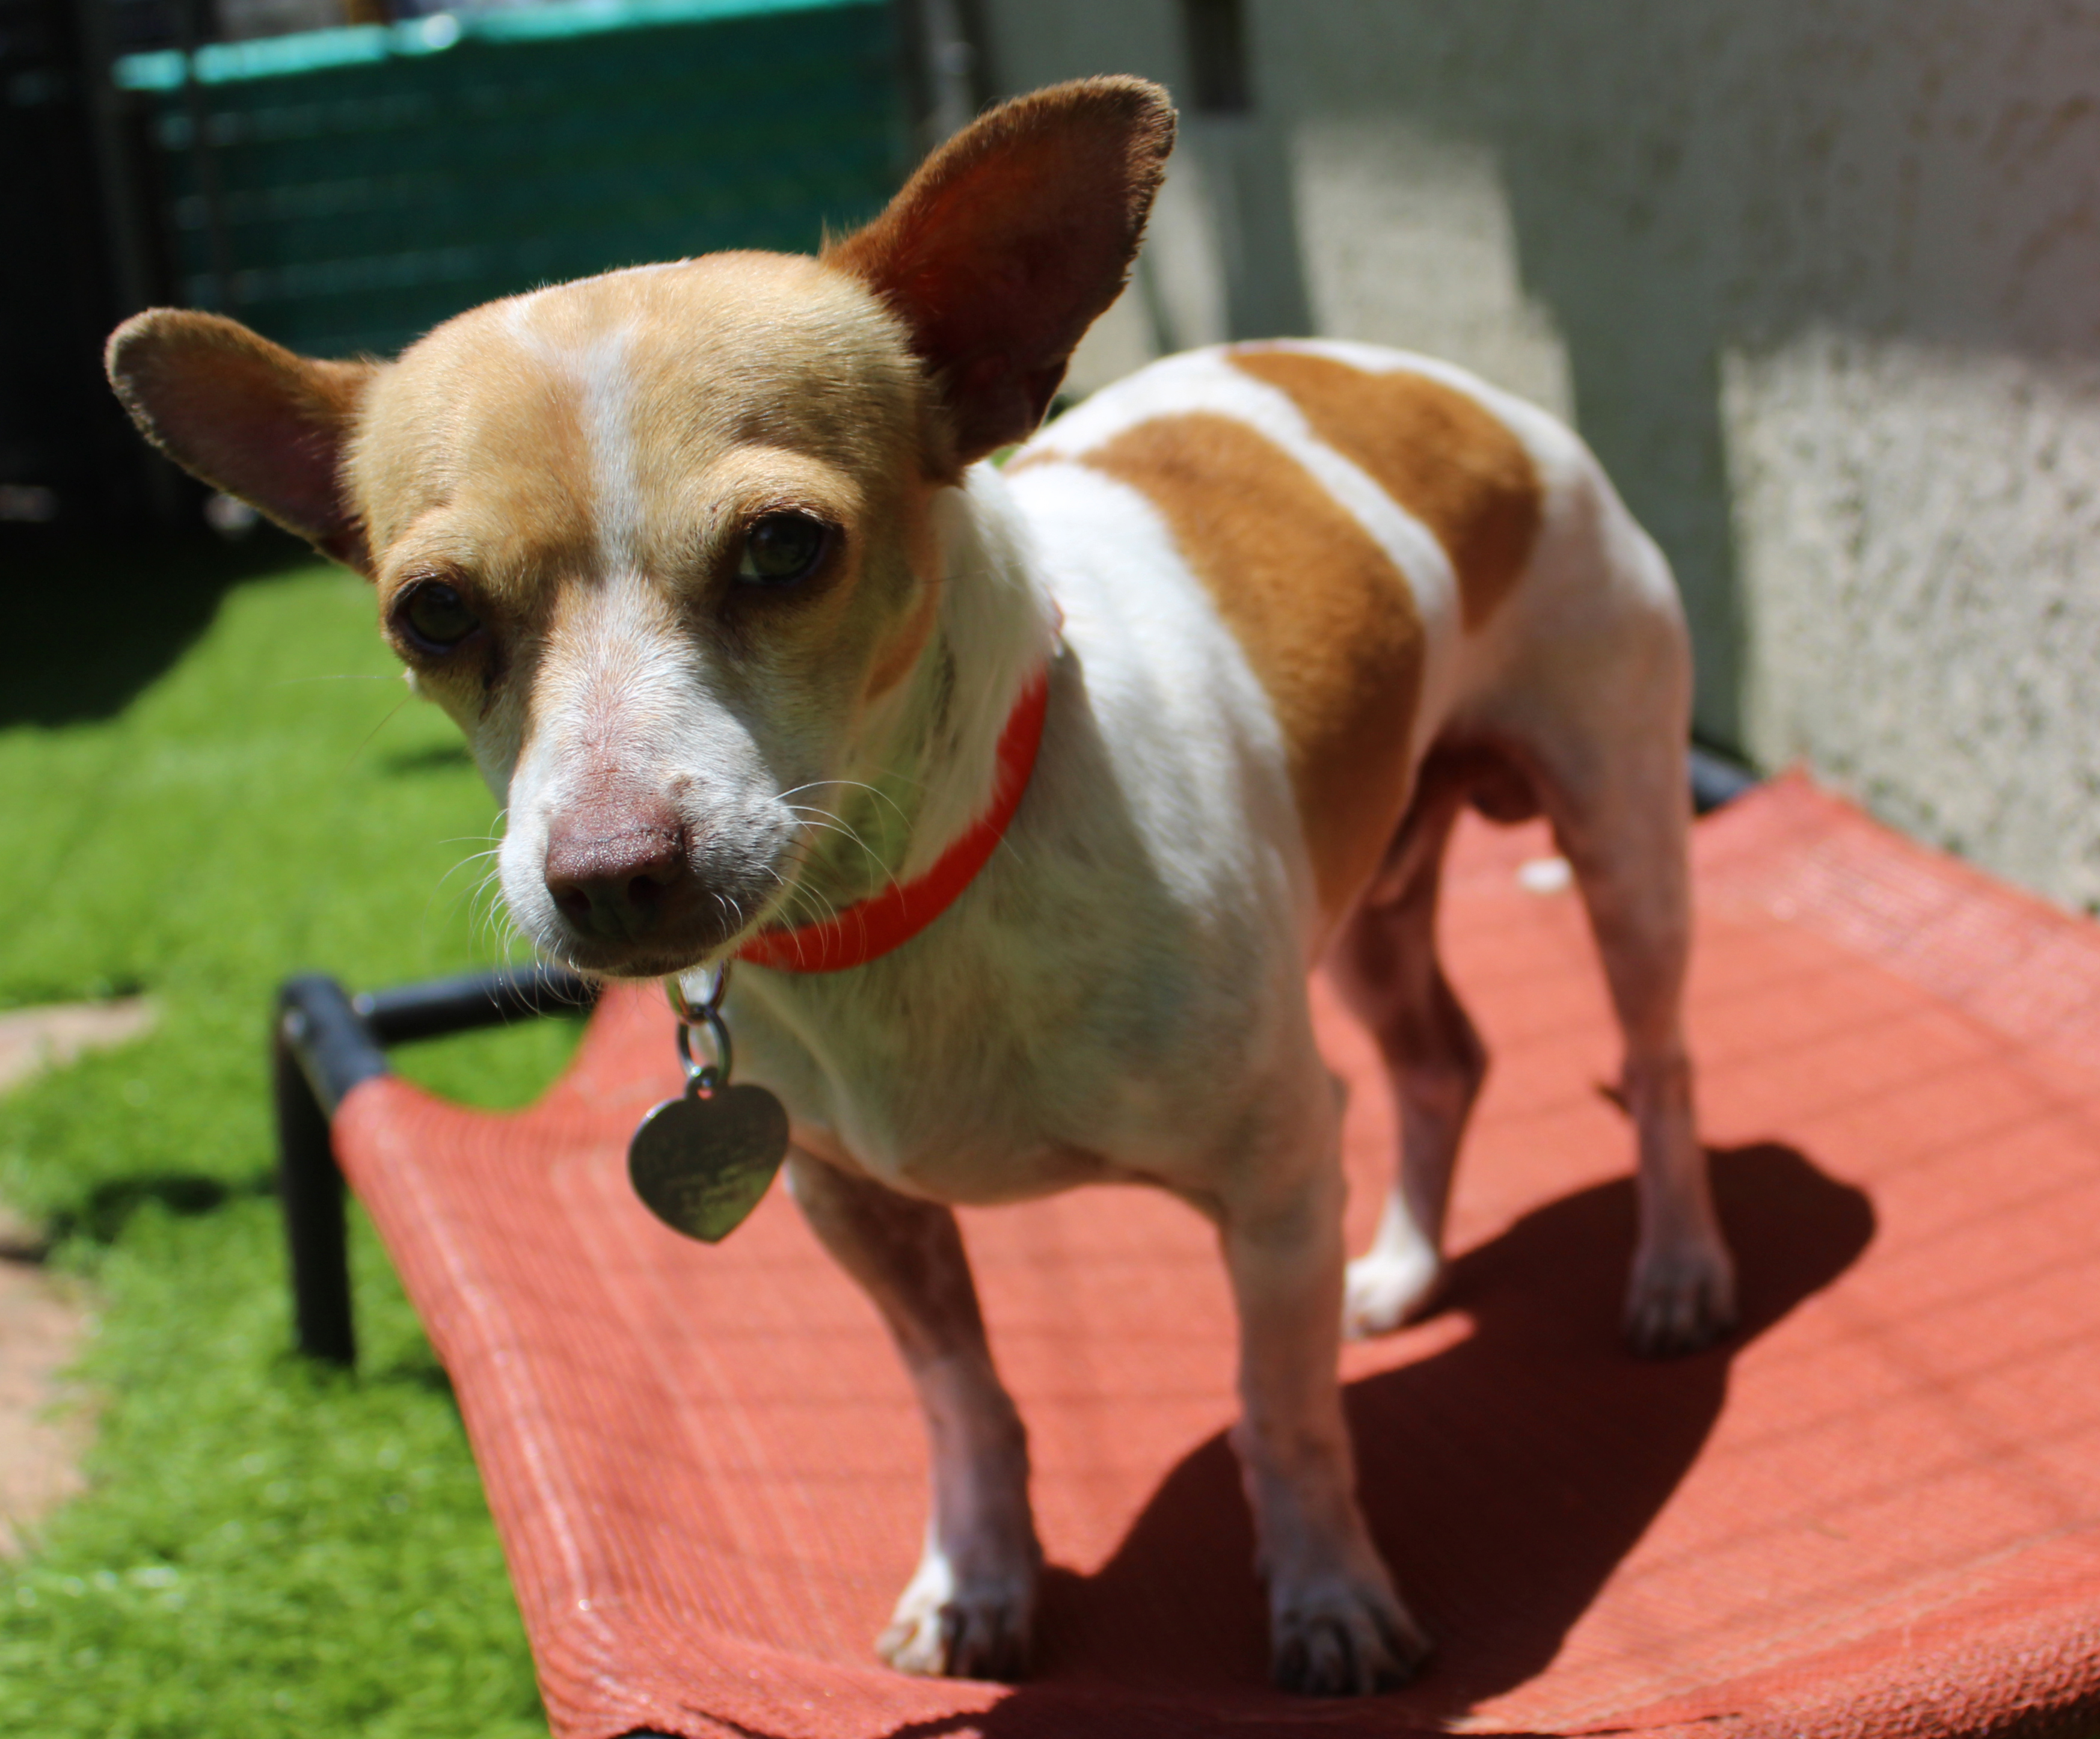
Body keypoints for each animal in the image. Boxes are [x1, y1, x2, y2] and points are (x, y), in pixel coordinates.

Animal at [102, 78, 1739, 1697]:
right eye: (429, 614)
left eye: (784, 546)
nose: (611, 878)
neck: (909, 907)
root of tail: (1426, 380)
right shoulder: (859, 1209)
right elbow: (963, 1402)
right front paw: (980, 1577)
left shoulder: (1273, 1181)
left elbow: (1280, 1415)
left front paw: (1327, 1594)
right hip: (1370, 901)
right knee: (1440, 1061)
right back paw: (1402, 1268)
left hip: (1622, 841)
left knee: (1657, 1057)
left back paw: (1675, 1273)